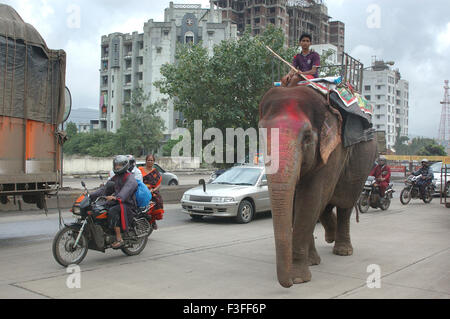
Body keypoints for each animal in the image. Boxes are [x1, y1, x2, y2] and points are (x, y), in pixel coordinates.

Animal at [258, 85, 378, 290]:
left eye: (307, 137)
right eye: (262, 136)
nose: (288, 284)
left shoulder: (334, 151)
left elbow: (310, 198)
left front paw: (299, 279)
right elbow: (299, 202)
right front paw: (310, 264)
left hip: (363, 163)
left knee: (345, 202)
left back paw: (343, 250)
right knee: (326, 205)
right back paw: (330, 236)